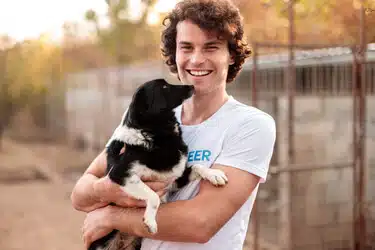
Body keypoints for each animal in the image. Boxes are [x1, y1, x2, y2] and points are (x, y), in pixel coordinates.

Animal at [89, 79, 229, 250]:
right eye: (164, 87)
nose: (191, 86)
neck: (159, 136)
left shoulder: (174, 179)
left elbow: (198, 166)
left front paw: (215, 174)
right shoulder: (121, 174)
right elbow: (153, 196)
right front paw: (150, 221)